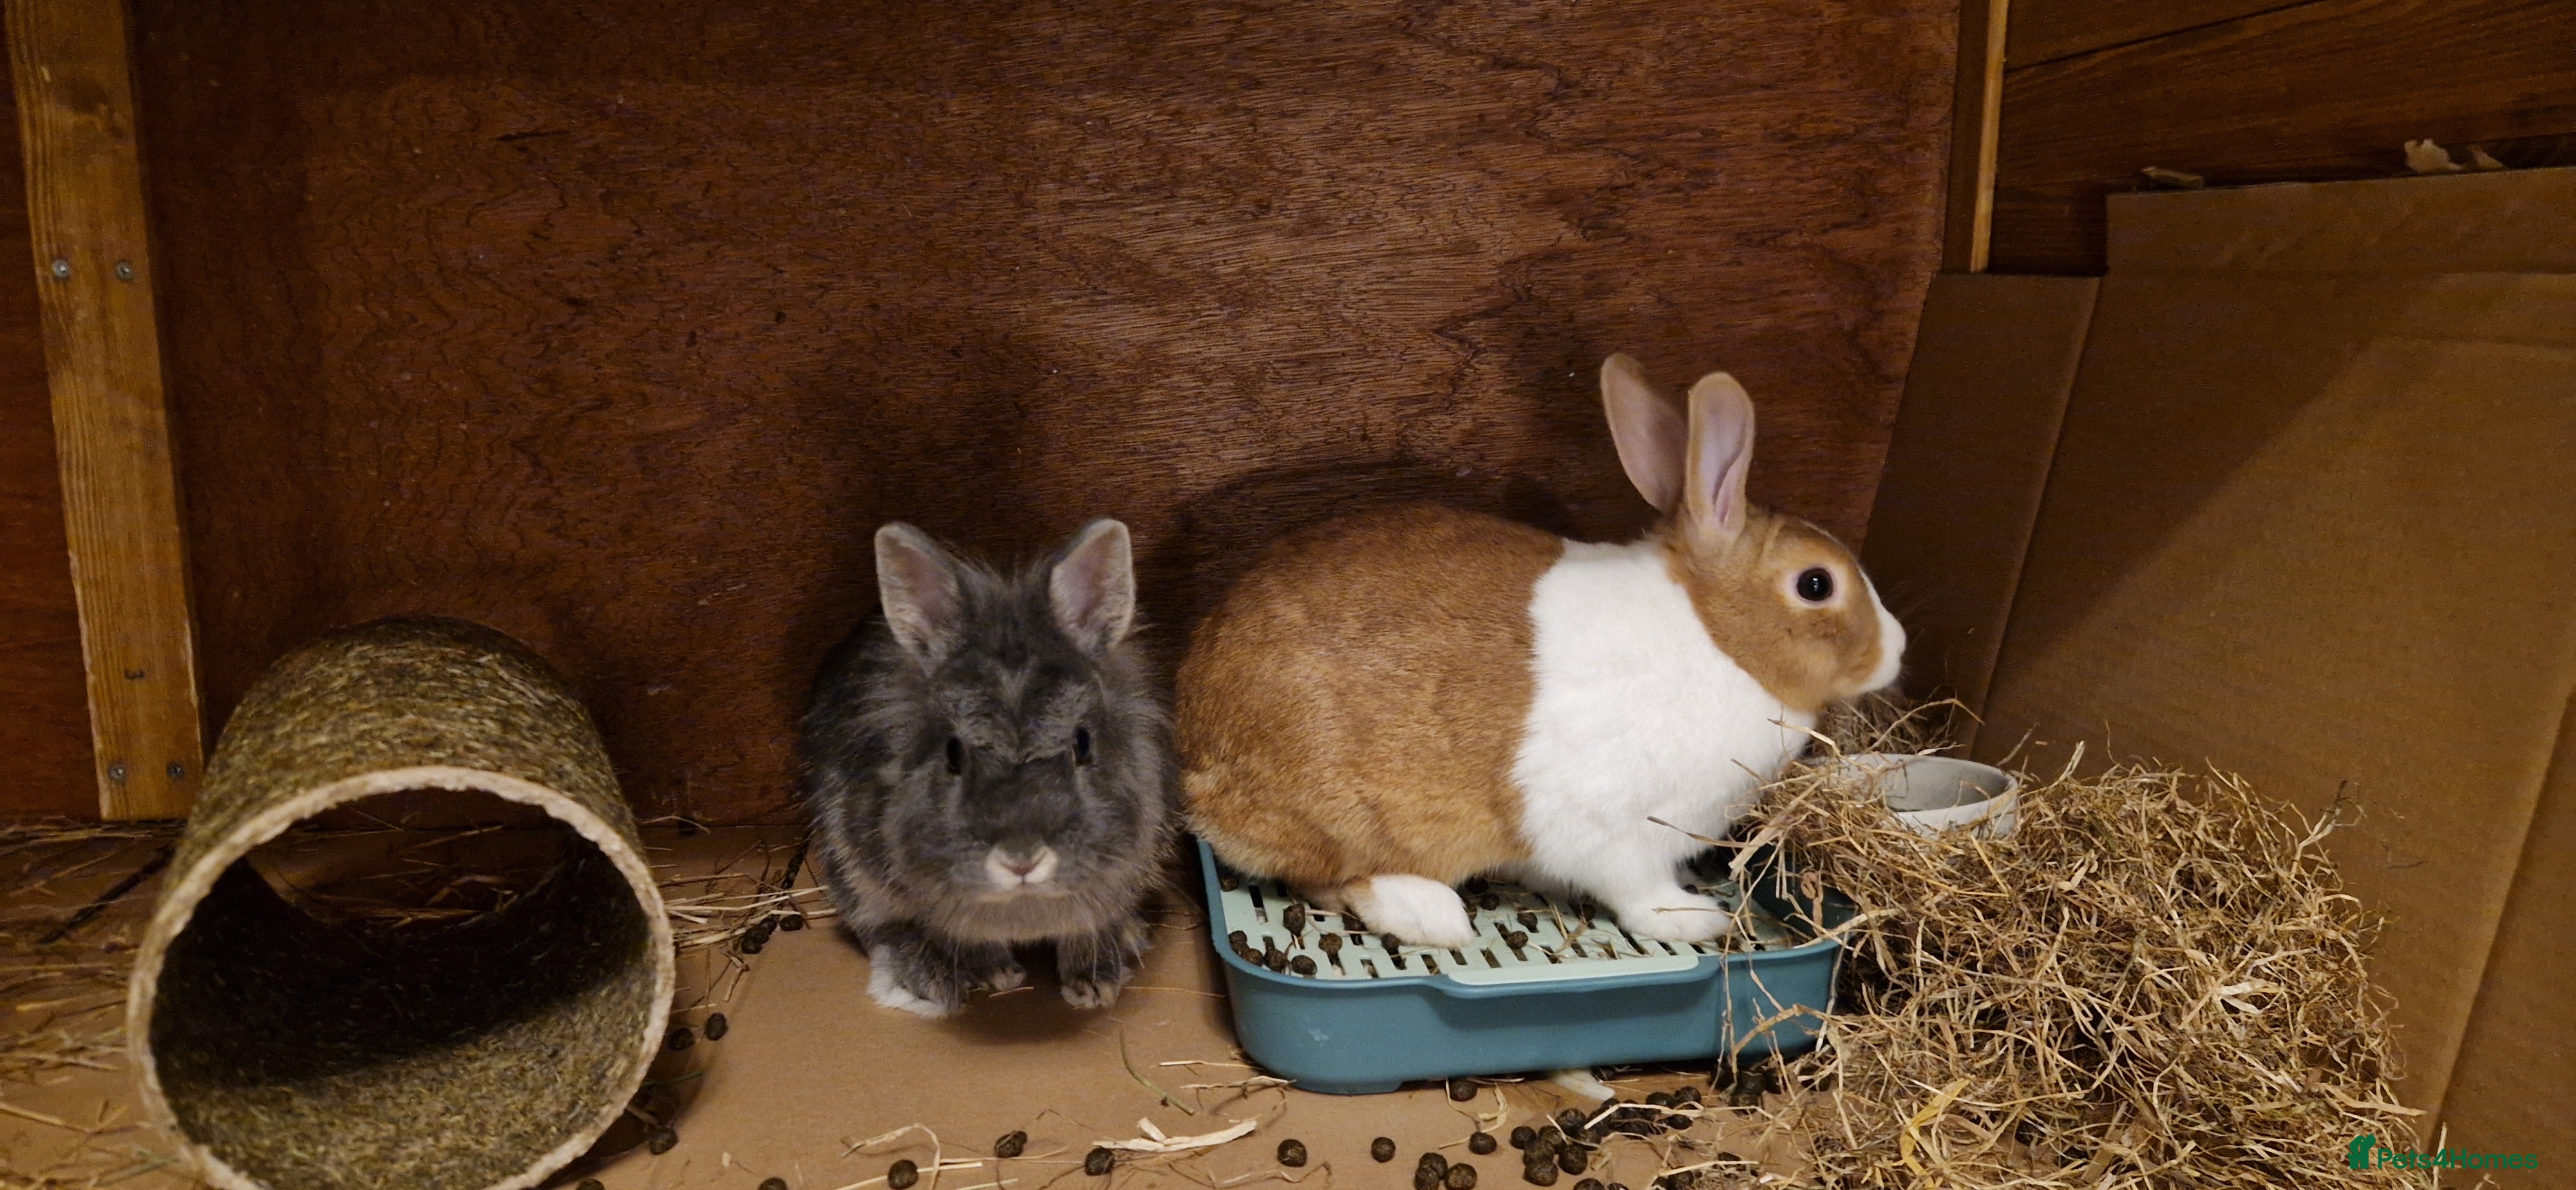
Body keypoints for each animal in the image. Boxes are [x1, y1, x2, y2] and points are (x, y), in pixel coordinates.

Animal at [1177, 353, 1905, 949]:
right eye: (1816, 585)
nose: (1897, 649)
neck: (1714, 640)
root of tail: (1196, 754)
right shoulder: (1622, 837)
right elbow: (1640, 895)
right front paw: (1696, 920)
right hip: (1347, 821)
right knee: (1328, 880)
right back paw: (1430, 915)